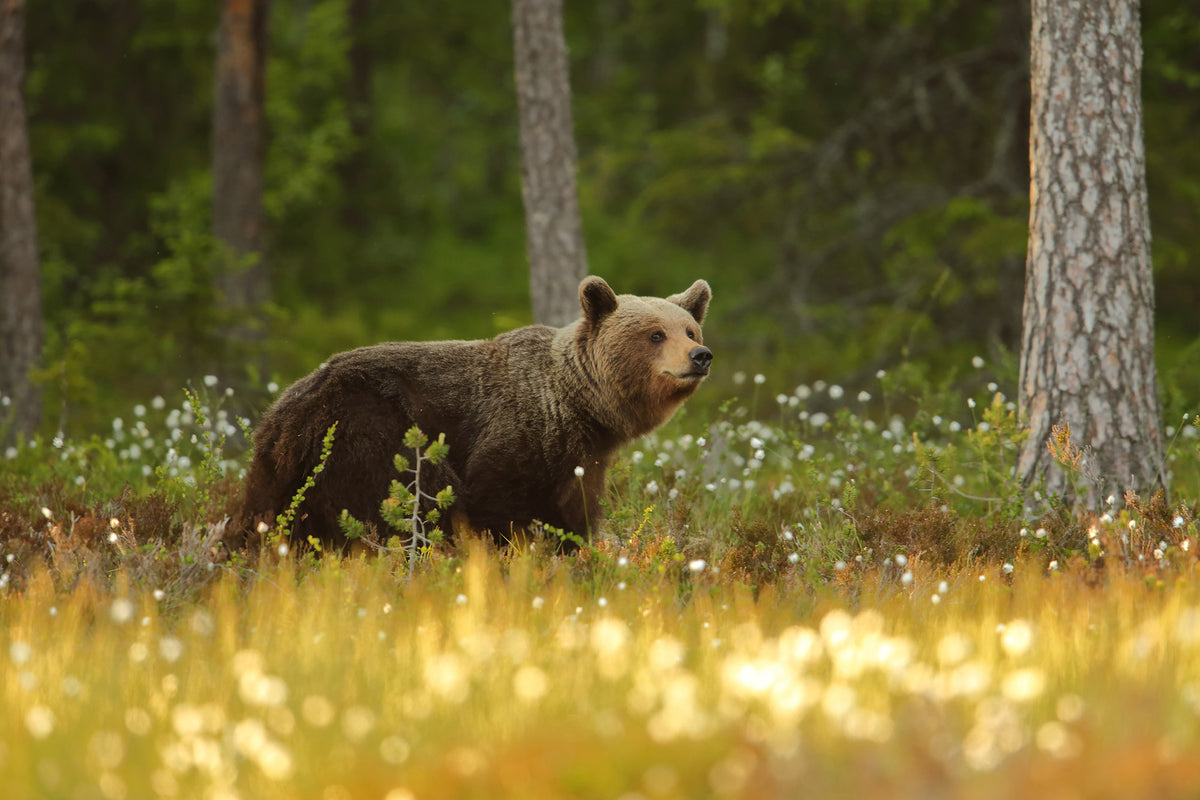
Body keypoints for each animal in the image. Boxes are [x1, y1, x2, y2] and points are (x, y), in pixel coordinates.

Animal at [234, 276, 712, 550]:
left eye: (690, 329)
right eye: (655, 334)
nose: (701, 355)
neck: (577, 407)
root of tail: (282, 411)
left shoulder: (580, 458)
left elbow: (575, 511)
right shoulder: (516, 434)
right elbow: (495, 503)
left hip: (285, 469)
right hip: (369, 429)